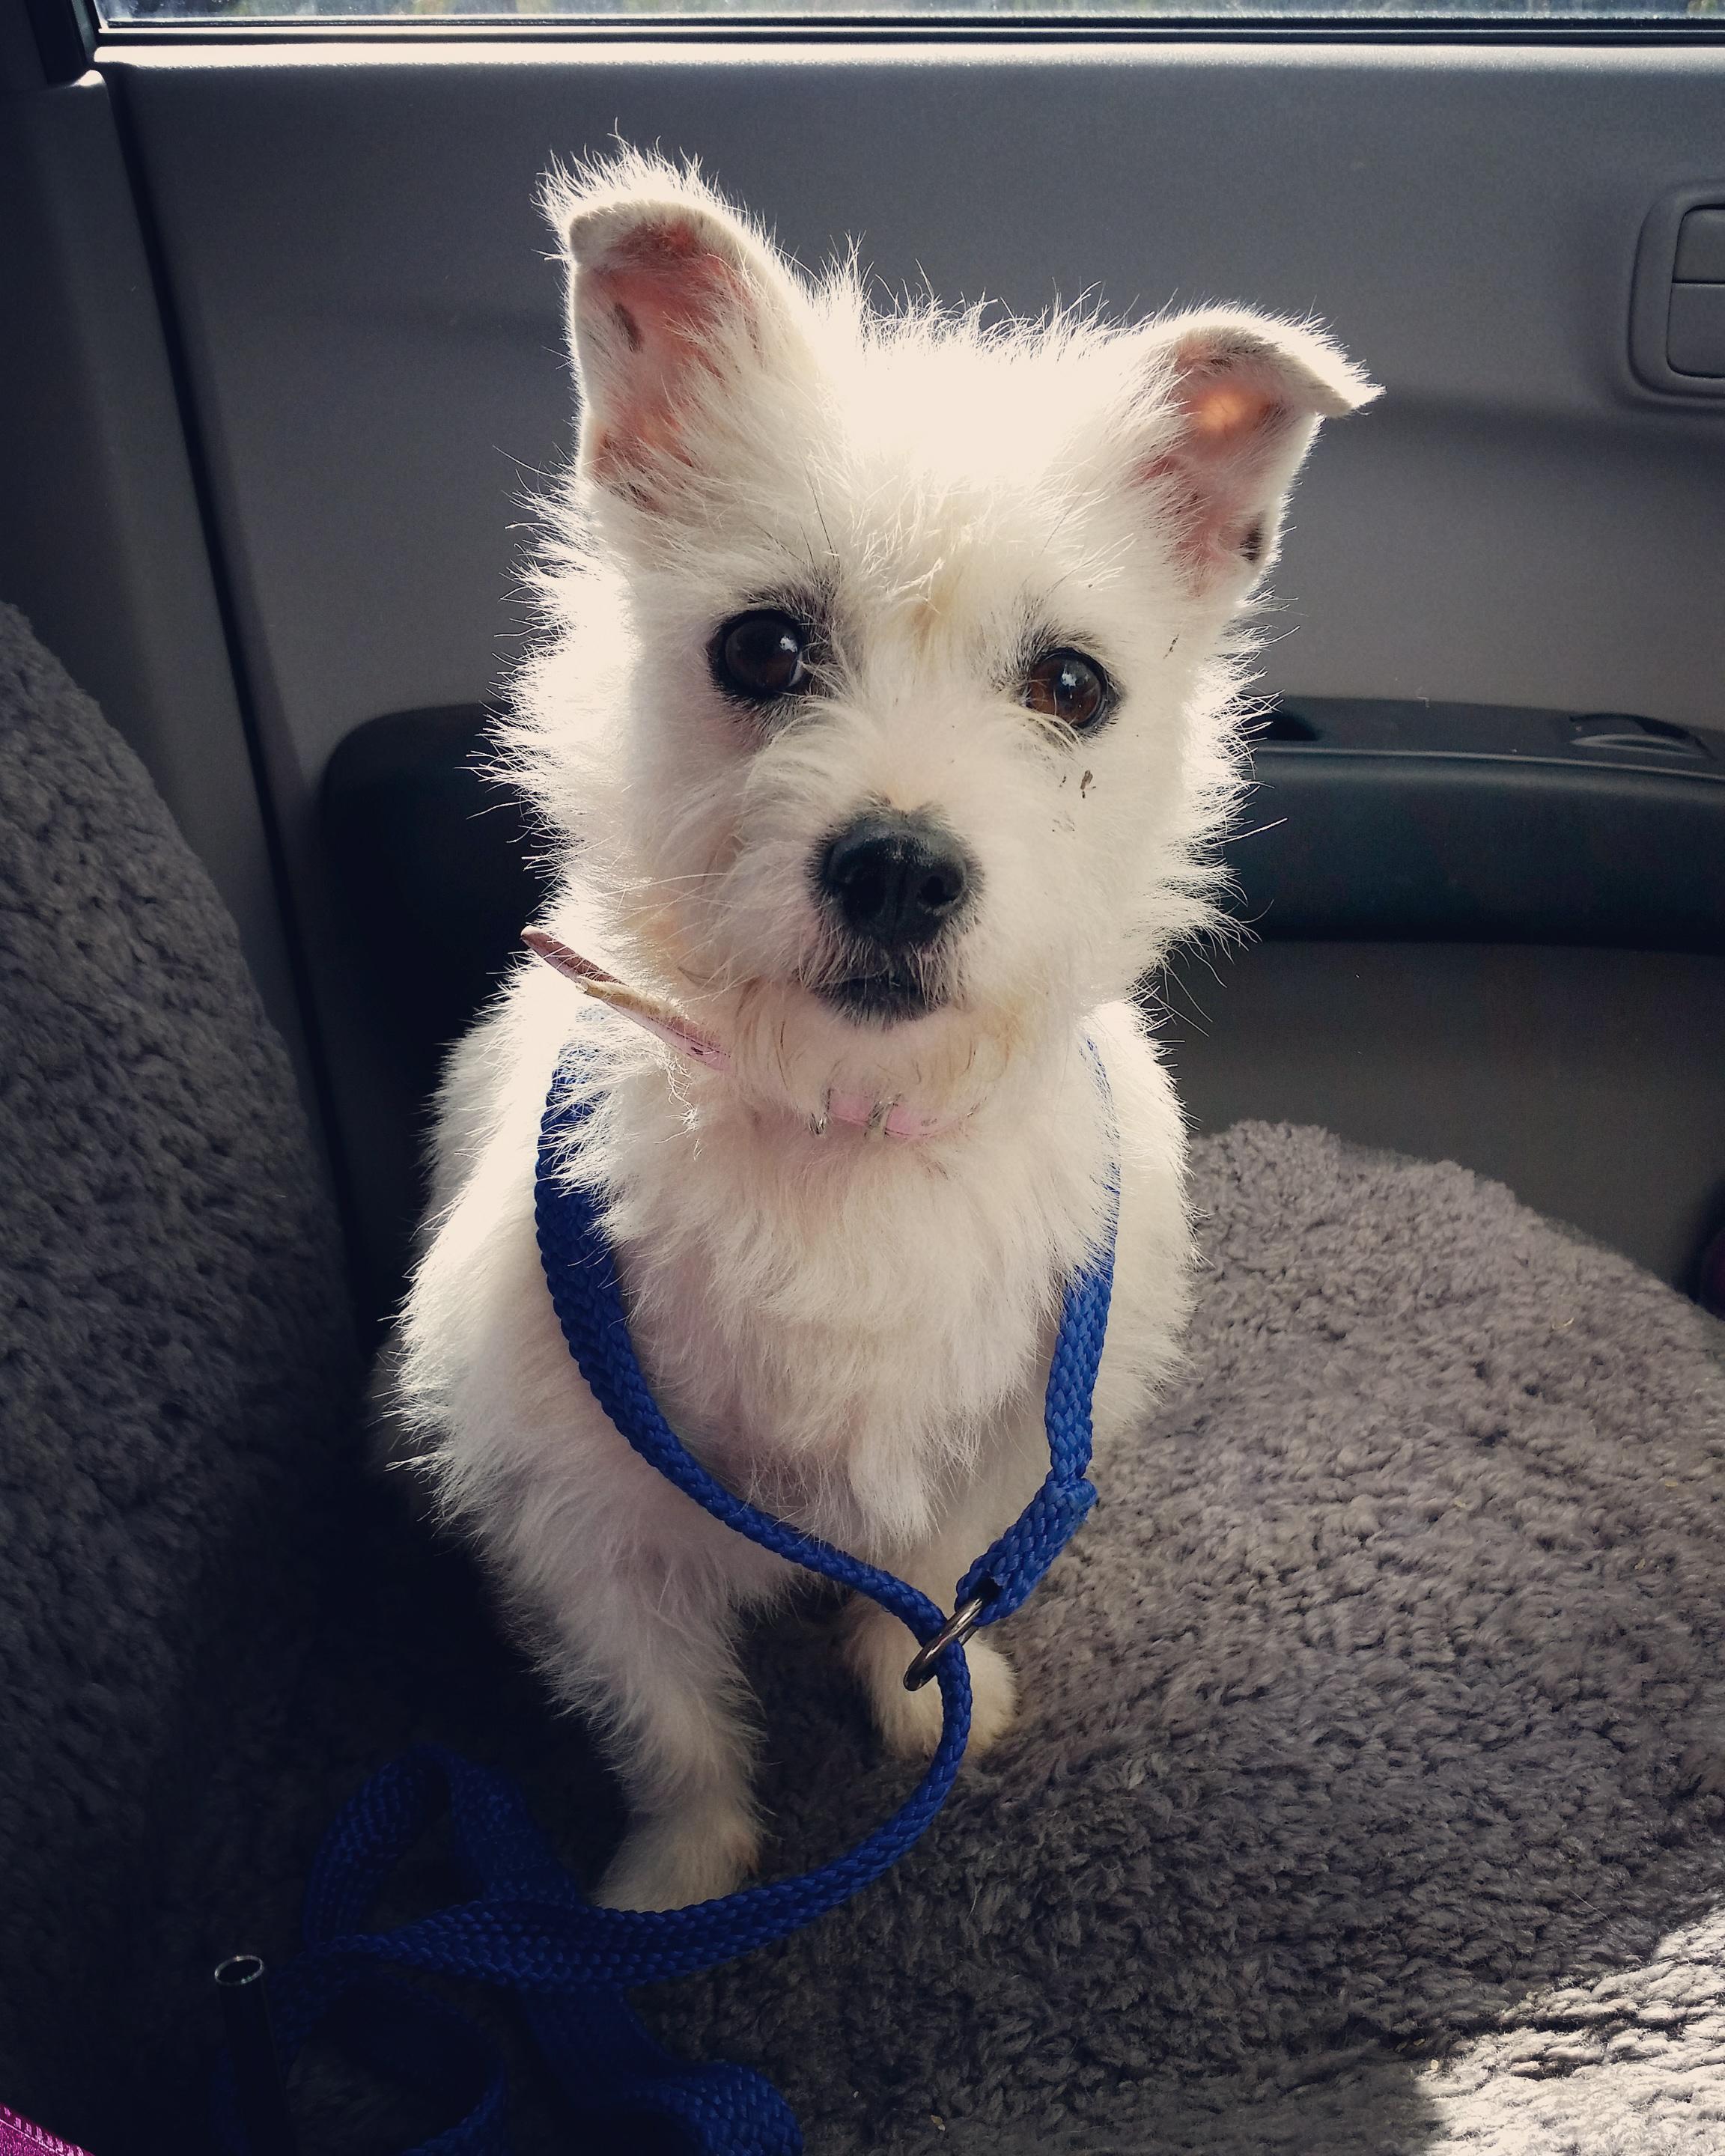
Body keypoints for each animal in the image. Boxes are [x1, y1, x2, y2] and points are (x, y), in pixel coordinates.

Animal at [385, 149, 1374, 1913]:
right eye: (761, 646)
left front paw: (930, 1715)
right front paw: (675, 1882)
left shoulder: (1007, 1445)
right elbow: (661, 1720)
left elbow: (919, 1586)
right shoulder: (578, 1521)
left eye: (1072, 684)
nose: (900, 867)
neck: (853, 1123)